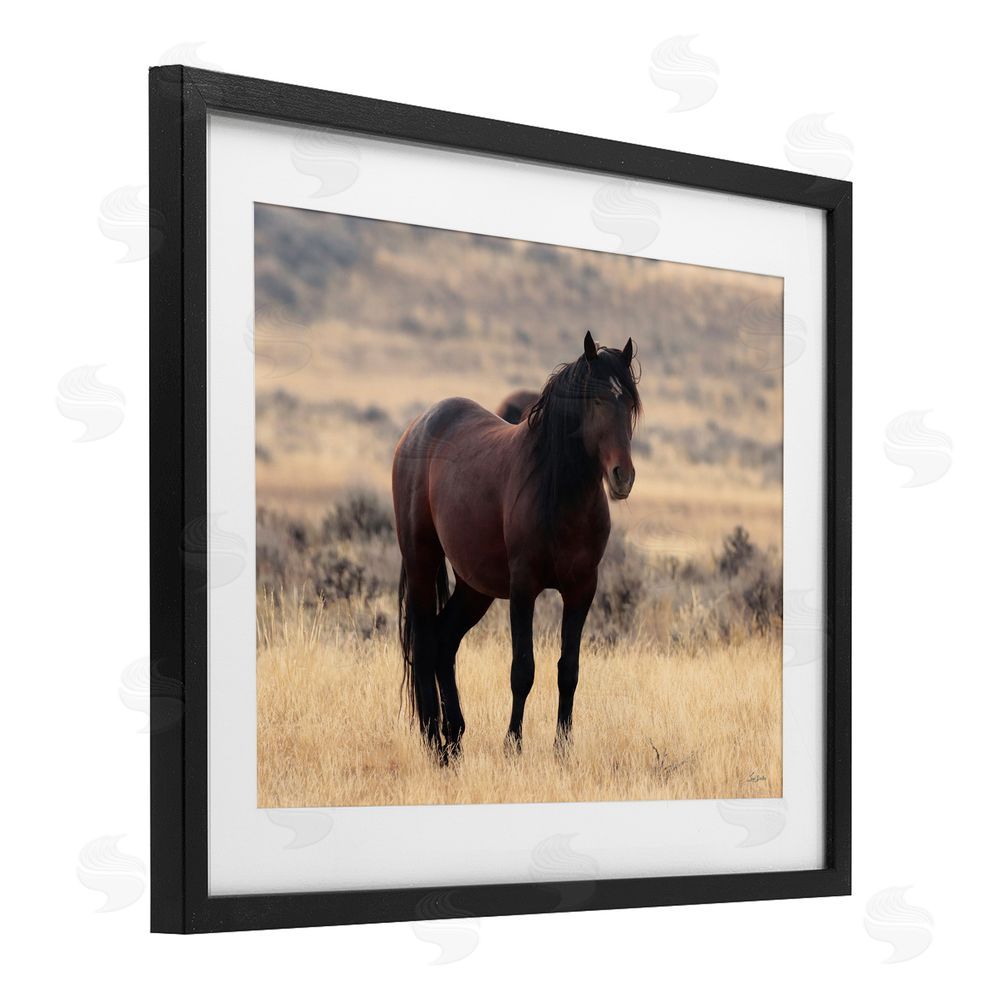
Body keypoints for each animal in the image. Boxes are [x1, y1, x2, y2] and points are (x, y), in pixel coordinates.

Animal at [392, 331, 640, 762]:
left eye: (628, 403)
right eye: (595, 401)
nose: (622, 476)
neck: (560, 496)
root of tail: (417, 428)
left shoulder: (581, 590)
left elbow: (568, 670)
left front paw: (562, 749)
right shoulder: (524, 588)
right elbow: (523, 669)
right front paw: (513, 745)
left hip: (474, 587)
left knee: (444, 641)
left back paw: (454, 738)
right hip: (422, 561)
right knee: (424, 643)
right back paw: (433, 742)